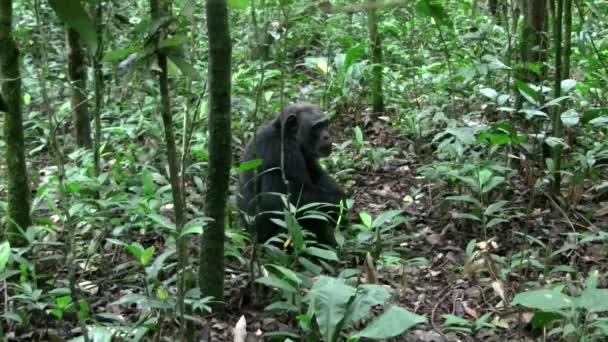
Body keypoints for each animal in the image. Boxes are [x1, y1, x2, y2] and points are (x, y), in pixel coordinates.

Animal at [235, 103, 344, 244]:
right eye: (316, 127)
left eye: (325, 124)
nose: (327, 136)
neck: (287, 134)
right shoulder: (285, 151)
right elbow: (294, 196)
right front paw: (339, 201)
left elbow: (318, 174)